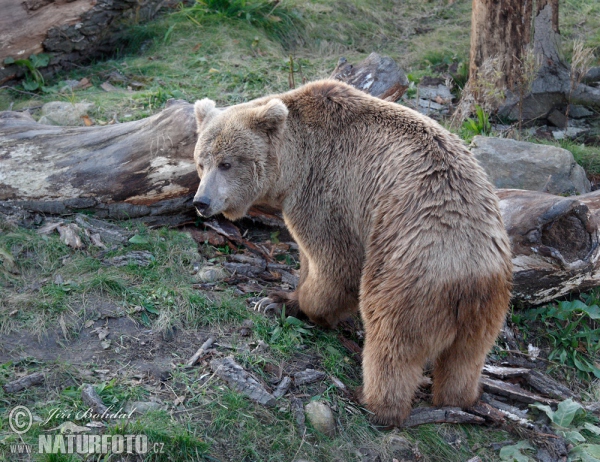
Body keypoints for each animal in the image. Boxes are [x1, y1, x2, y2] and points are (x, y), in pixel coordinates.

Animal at [191, 80, 510, 426]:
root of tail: (469, 272)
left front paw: (292, 304)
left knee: (391, 341)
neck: (294, 163)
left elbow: (335, 263)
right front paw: (281, 296)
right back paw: (459, 397)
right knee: (465, 357)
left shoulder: (326, 191)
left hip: (408, 269)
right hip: (489, 304)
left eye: (226, 163)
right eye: (201, 162)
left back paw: (372, 401)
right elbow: (308, 261)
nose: (201, 201)